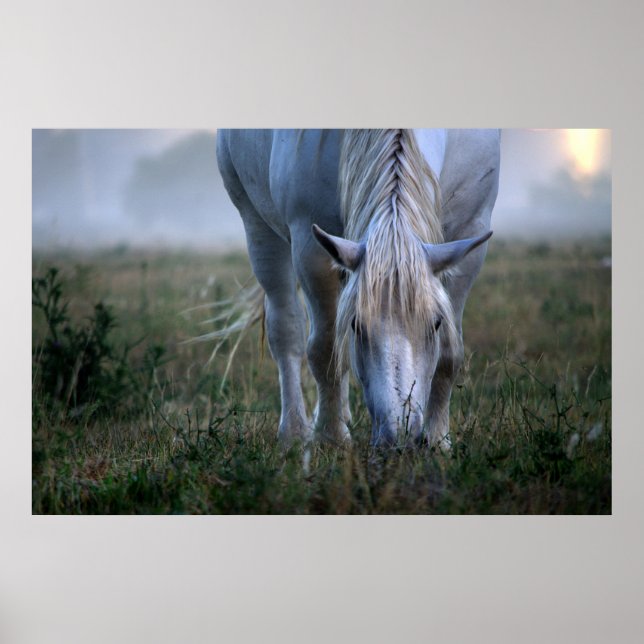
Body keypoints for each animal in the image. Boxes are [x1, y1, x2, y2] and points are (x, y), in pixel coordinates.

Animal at [215, 129, 500, 448]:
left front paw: (438, 442)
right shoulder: (310, 245)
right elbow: (326, 348)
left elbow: (450, 353)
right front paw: (332, 437)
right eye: (356, 325)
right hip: (259, 228)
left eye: (436, 323)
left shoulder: (471, 234)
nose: (398, 438)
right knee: (286, 330)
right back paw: (295, 432)